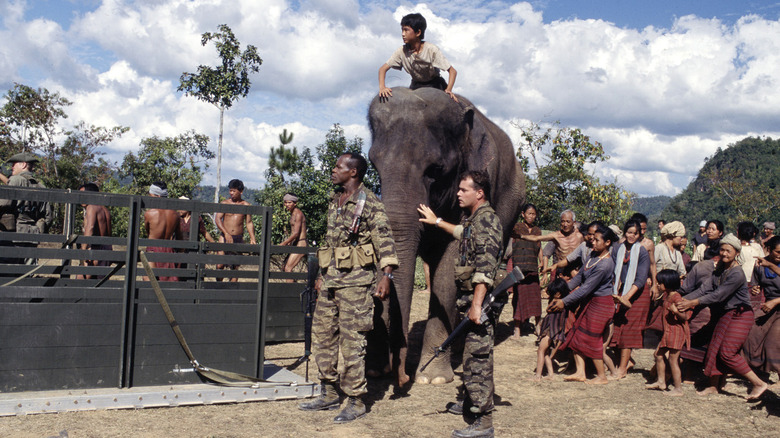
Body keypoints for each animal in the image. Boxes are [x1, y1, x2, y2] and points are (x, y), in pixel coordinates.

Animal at [368, 86, 528, 386]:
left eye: (435, 170)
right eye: (373, 164)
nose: (400, 376)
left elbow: (450, 268)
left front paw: (433, 379)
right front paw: (374, 370)